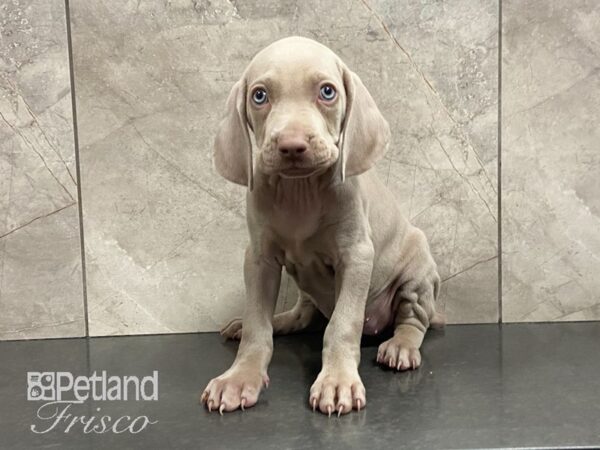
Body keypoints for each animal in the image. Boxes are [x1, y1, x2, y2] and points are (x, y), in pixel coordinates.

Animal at [204, 37, 442, 416]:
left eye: (327, 92)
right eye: (260, 96)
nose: (292, 146)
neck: (300, 191)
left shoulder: (356, 255)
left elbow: (342, 325)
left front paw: (337, 381)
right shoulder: (258, 259)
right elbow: (258, 324)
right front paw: (239, 377)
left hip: (418, 270)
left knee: (413, 318)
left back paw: (401, 346)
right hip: (305, 287)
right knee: (303, 314)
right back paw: (275, 320)